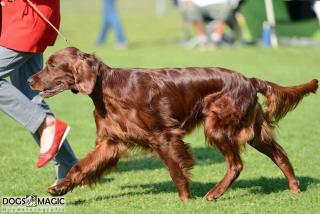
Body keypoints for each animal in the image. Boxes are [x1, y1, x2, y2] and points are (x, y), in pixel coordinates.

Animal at [28, 46, 318, 201]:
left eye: (52, 65)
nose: (30, 80)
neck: (108, 90)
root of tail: (249, 79)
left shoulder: (163, 136)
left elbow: (176, 170)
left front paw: (185, 200)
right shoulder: (110, 142)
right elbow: (80, 166)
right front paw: (61, 187)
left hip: (218, 126)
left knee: (236, 164)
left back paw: (214, 193)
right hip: (252, 131)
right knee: (280, 155)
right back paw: (294, 188)